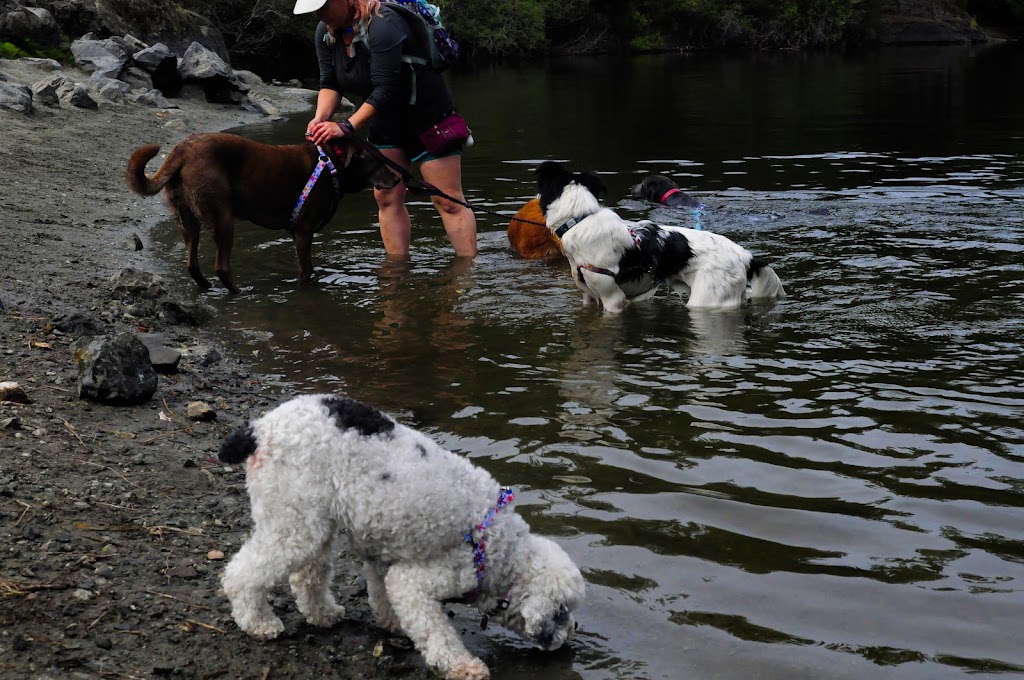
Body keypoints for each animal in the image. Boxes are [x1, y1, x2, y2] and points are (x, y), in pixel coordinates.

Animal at [125, 132, 397, 292]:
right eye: (379, 162)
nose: (398, 178)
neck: (331, 165)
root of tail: (181, 151)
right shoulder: (303, 231)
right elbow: (306, 269)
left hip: (186, 218)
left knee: (192, 264)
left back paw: (207, 287)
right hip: (224, 217)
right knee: (221, 266)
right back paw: (238, 292)